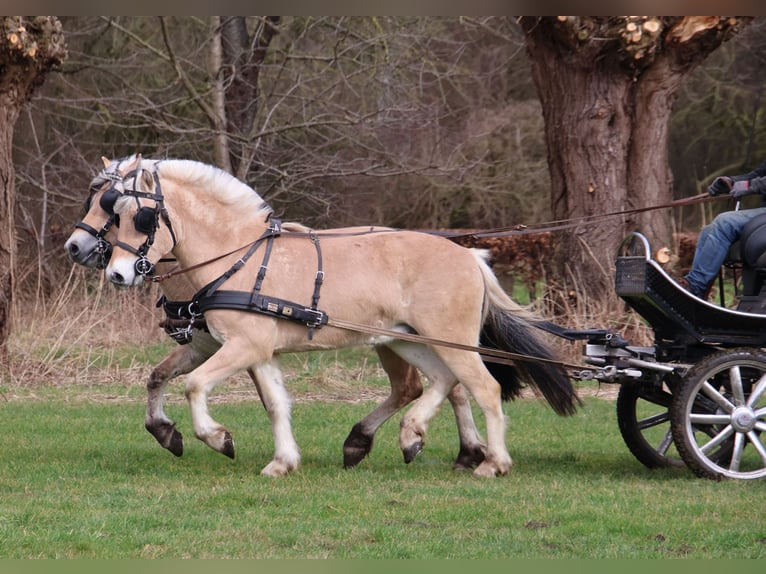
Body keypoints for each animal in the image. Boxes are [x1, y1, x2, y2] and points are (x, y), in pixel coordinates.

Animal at [103, 155, 584, 480]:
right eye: (113, 214)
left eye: (142, 218)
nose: (116, 274)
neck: (238, 257)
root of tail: (471, 257)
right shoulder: (259, 352)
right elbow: (276, 404)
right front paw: (283, 462)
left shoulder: (243, 346)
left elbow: (194, 385)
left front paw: (219, 438)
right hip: (406, 338)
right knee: (442, 382)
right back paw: (410, 435)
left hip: (448, 338)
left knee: (481, 387)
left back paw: (491, 462)